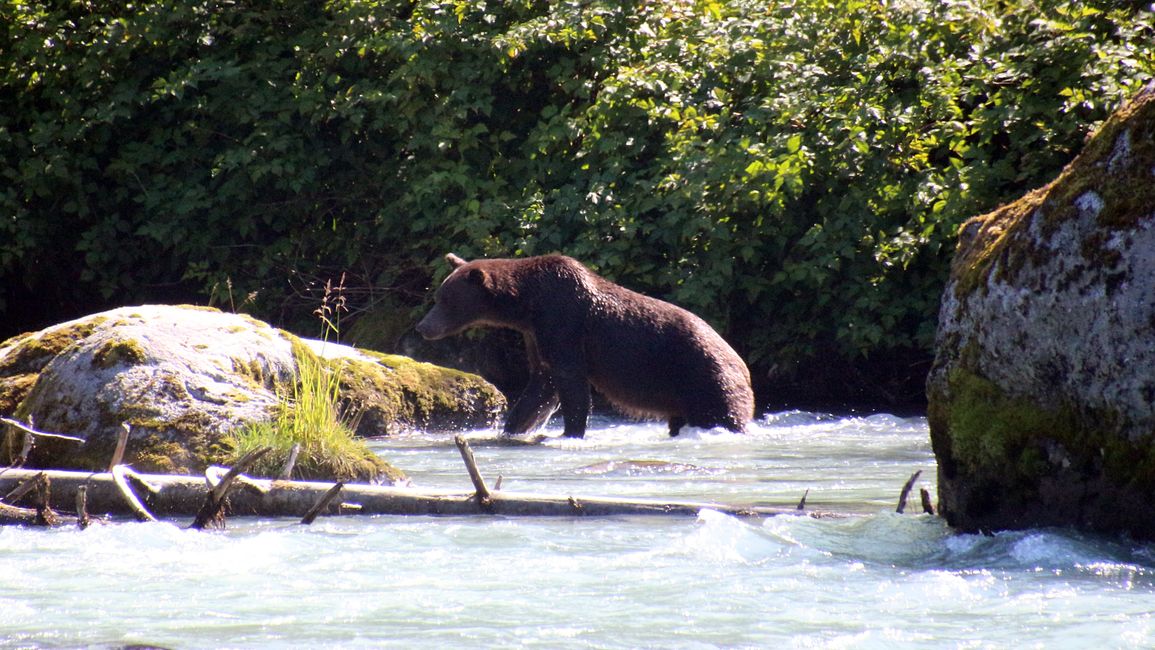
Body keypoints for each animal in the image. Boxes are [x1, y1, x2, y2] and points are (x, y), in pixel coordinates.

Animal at [415, 252, 757, 436]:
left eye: (446, 300)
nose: (422, 327)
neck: (526, 305)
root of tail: (742, 363)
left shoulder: (563, 322)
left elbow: (571, 382)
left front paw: (571, 432)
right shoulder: (536, 335)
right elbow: (542, 386)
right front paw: (514, 428)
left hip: (705, 378)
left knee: (723, 414)